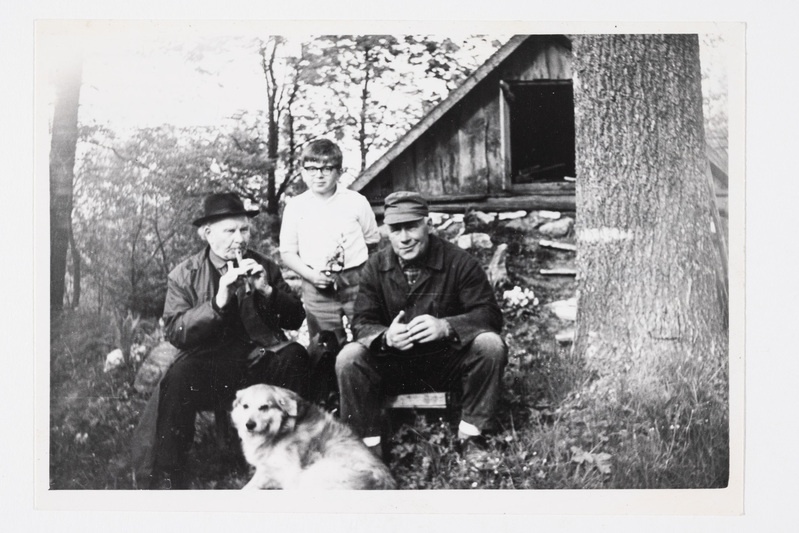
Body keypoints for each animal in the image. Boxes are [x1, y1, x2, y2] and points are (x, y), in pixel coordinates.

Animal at [231, 384, 396, 490]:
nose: (249, 425)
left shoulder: (288, 472)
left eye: (264, 407)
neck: (281, 429)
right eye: (245, 406)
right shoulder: (266, 470)